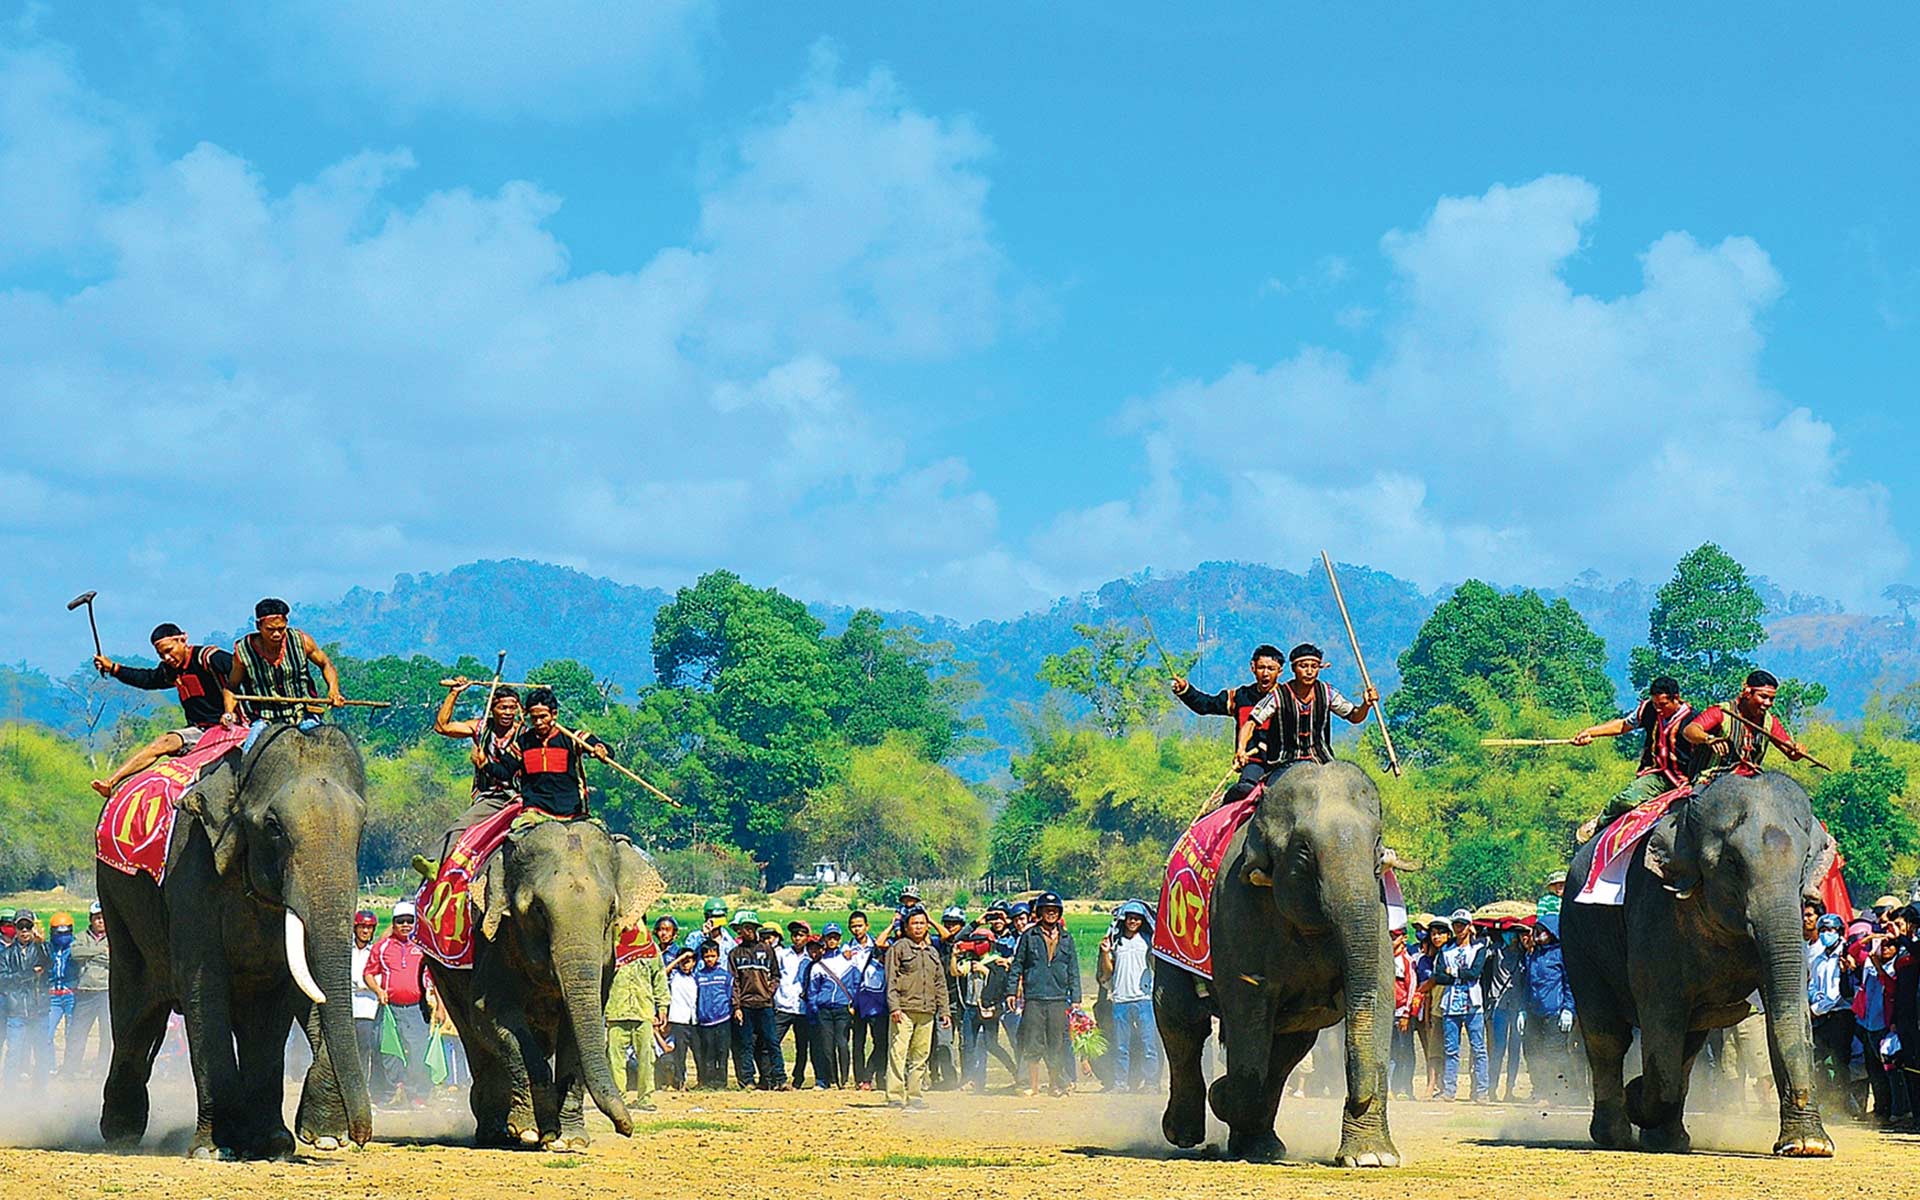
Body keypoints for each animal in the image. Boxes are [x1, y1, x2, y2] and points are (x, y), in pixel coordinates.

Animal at [96, 725, 374, 1159]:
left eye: (362, 827)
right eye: (274, 826)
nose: (362, 1137)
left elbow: (276, 1003)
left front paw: (277, 1144)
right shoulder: (190, 866)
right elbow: (203, 986)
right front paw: (215, 1150)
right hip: (116, 903)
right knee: (134, 1014)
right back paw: (121, 1134)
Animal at [424, 817, 664, 1144]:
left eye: (612, 911)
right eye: (537, 909)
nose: (626, 1128)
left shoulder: (606, 964)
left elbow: (576, 1031)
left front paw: (569, 1139)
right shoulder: (493, 940)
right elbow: (490, 1016)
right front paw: (530, 1129)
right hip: (442, 968)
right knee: (474, 1038)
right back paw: (495, 1130)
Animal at [1144, 764, 1405, 1167]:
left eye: (1378, 846)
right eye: (1304, 850)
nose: (1358, 1098)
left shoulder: (1377, 909)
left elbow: (1377, 1000)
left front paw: (1372, 1158)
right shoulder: (1236, 906)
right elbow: (1248, 1004)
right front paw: (1222, 1096)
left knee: (1287, 1048)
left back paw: (1260, 1146)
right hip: (1167, 932)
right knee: (1181, 1019)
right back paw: (1185, 1133)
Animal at [1559, 768, 1843, 1152]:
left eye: (1805, 865)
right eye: (1732, 863)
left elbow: (1791, 1009)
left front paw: (1808, 1146)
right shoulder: (1654, 911)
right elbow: (1661, 1015)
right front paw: (1636, 1094)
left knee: (1690, 1043)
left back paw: (1669, 1139)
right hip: (1577, 939)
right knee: (1607, 1034)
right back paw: (1615, 1135)